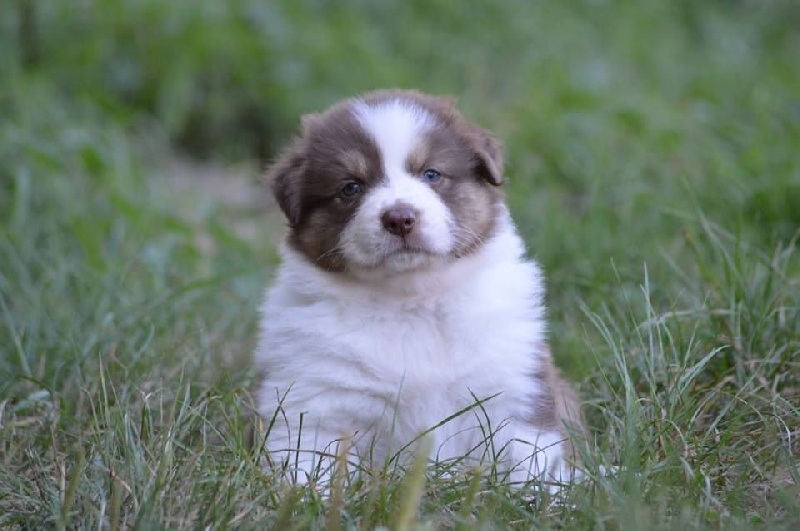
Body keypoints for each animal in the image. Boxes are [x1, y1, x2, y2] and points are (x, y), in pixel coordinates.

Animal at [254, 89, 581, 490]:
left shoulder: (512, 387)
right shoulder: (316, 401)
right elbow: (307, 468)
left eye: (431, 174)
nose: (400, 219)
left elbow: (530, 463)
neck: (410, 300)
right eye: (351, 187)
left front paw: (540, 497)